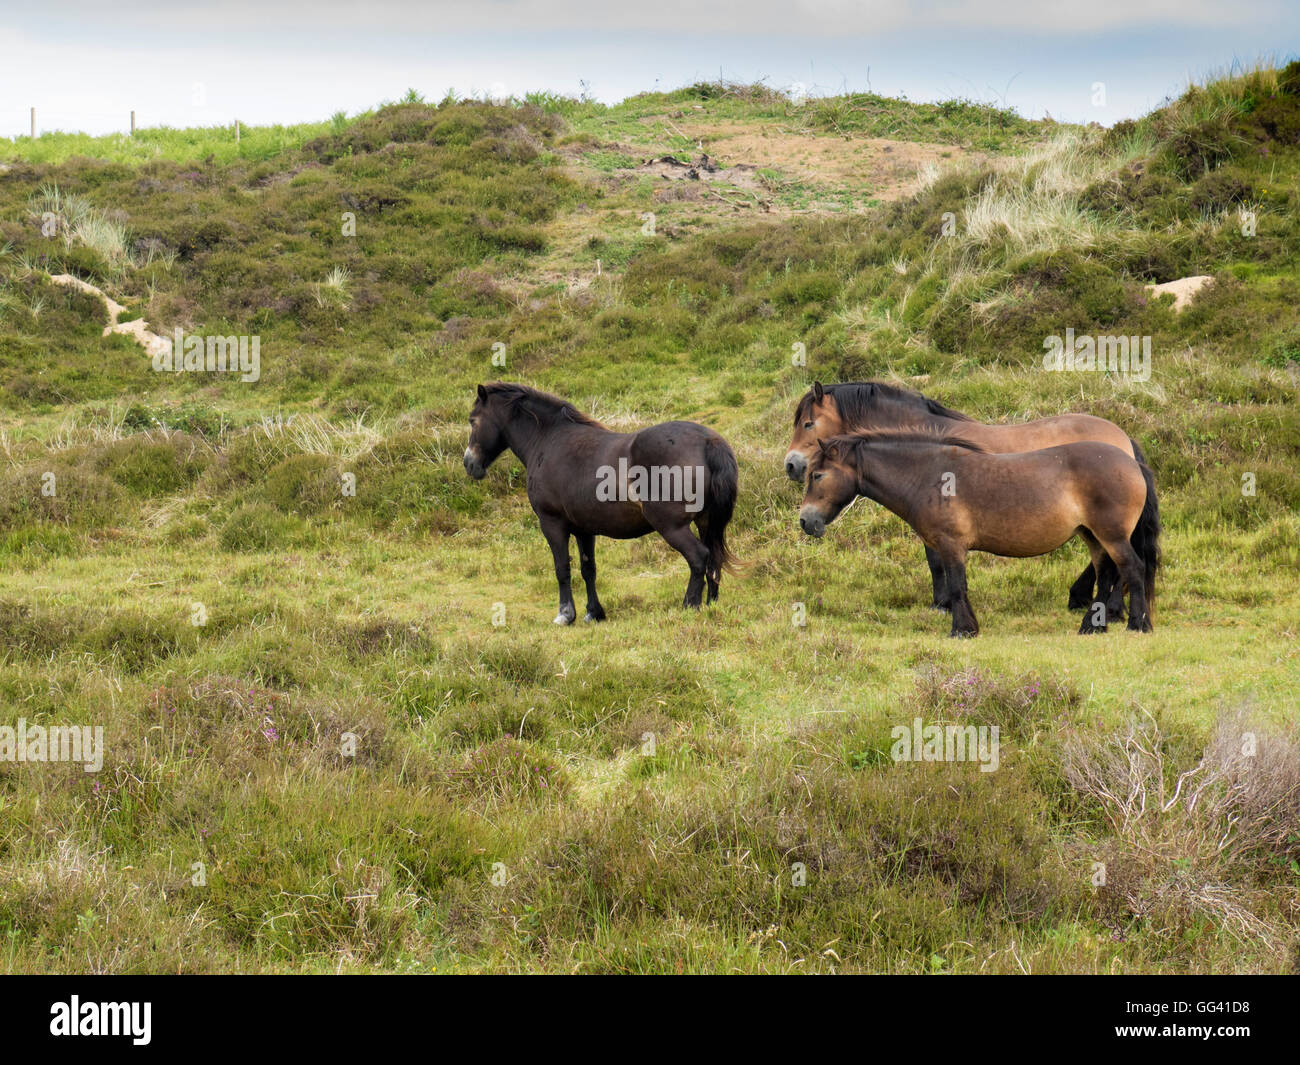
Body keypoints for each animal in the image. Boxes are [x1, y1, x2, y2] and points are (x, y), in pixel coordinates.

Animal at [462, 382, 738, 621]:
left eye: (473, 420)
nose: (469, 463)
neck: (548, 440)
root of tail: (709, 441)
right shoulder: (584, 530)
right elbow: (588, 570)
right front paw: (594, 612)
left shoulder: (552, 523)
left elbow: (562, 568)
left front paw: (566, 614)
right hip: (706, 522)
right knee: (713, 558)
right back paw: (711, 604)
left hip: (672, 526)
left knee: (698, 557)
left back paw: (689, 605)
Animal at [780, 382, 1149, 616]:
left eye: (808, 423)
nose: (791, 465)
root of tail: (1123, 440)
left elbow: (936, 561)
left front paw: (942, 604)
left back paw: (1108, 607)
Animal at [795, 429, 1164, 637]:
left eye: (817, 475)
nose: (805, 521)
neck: (928, 476)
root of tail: (1132, 462)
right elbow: (958, 587)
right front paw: (968, 626)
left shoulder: (951, 546)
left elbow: (957, 587)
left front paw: (962, 630)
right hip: (1092, 535)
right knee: (1106, 574)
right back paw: (1092, 626)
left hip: (1111, 536)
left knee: (1132, 569)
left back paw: (1137, 624)